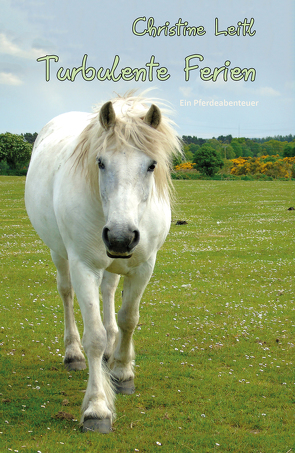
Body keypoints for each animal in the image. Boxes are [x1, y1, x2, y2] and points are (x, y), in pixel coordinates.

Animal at [25, 91, 183, 430]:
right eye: (100, 162)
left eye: (151, 165)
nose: (121, 237)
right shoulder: (83, 266)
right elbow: (94, 337)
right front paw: (97, 408)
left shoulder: (143, 266)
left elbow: (128, 319)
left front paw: (123, 373)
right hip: (61, 255)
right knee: (67, 294)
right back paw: (73, 354)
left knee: (109, 292)